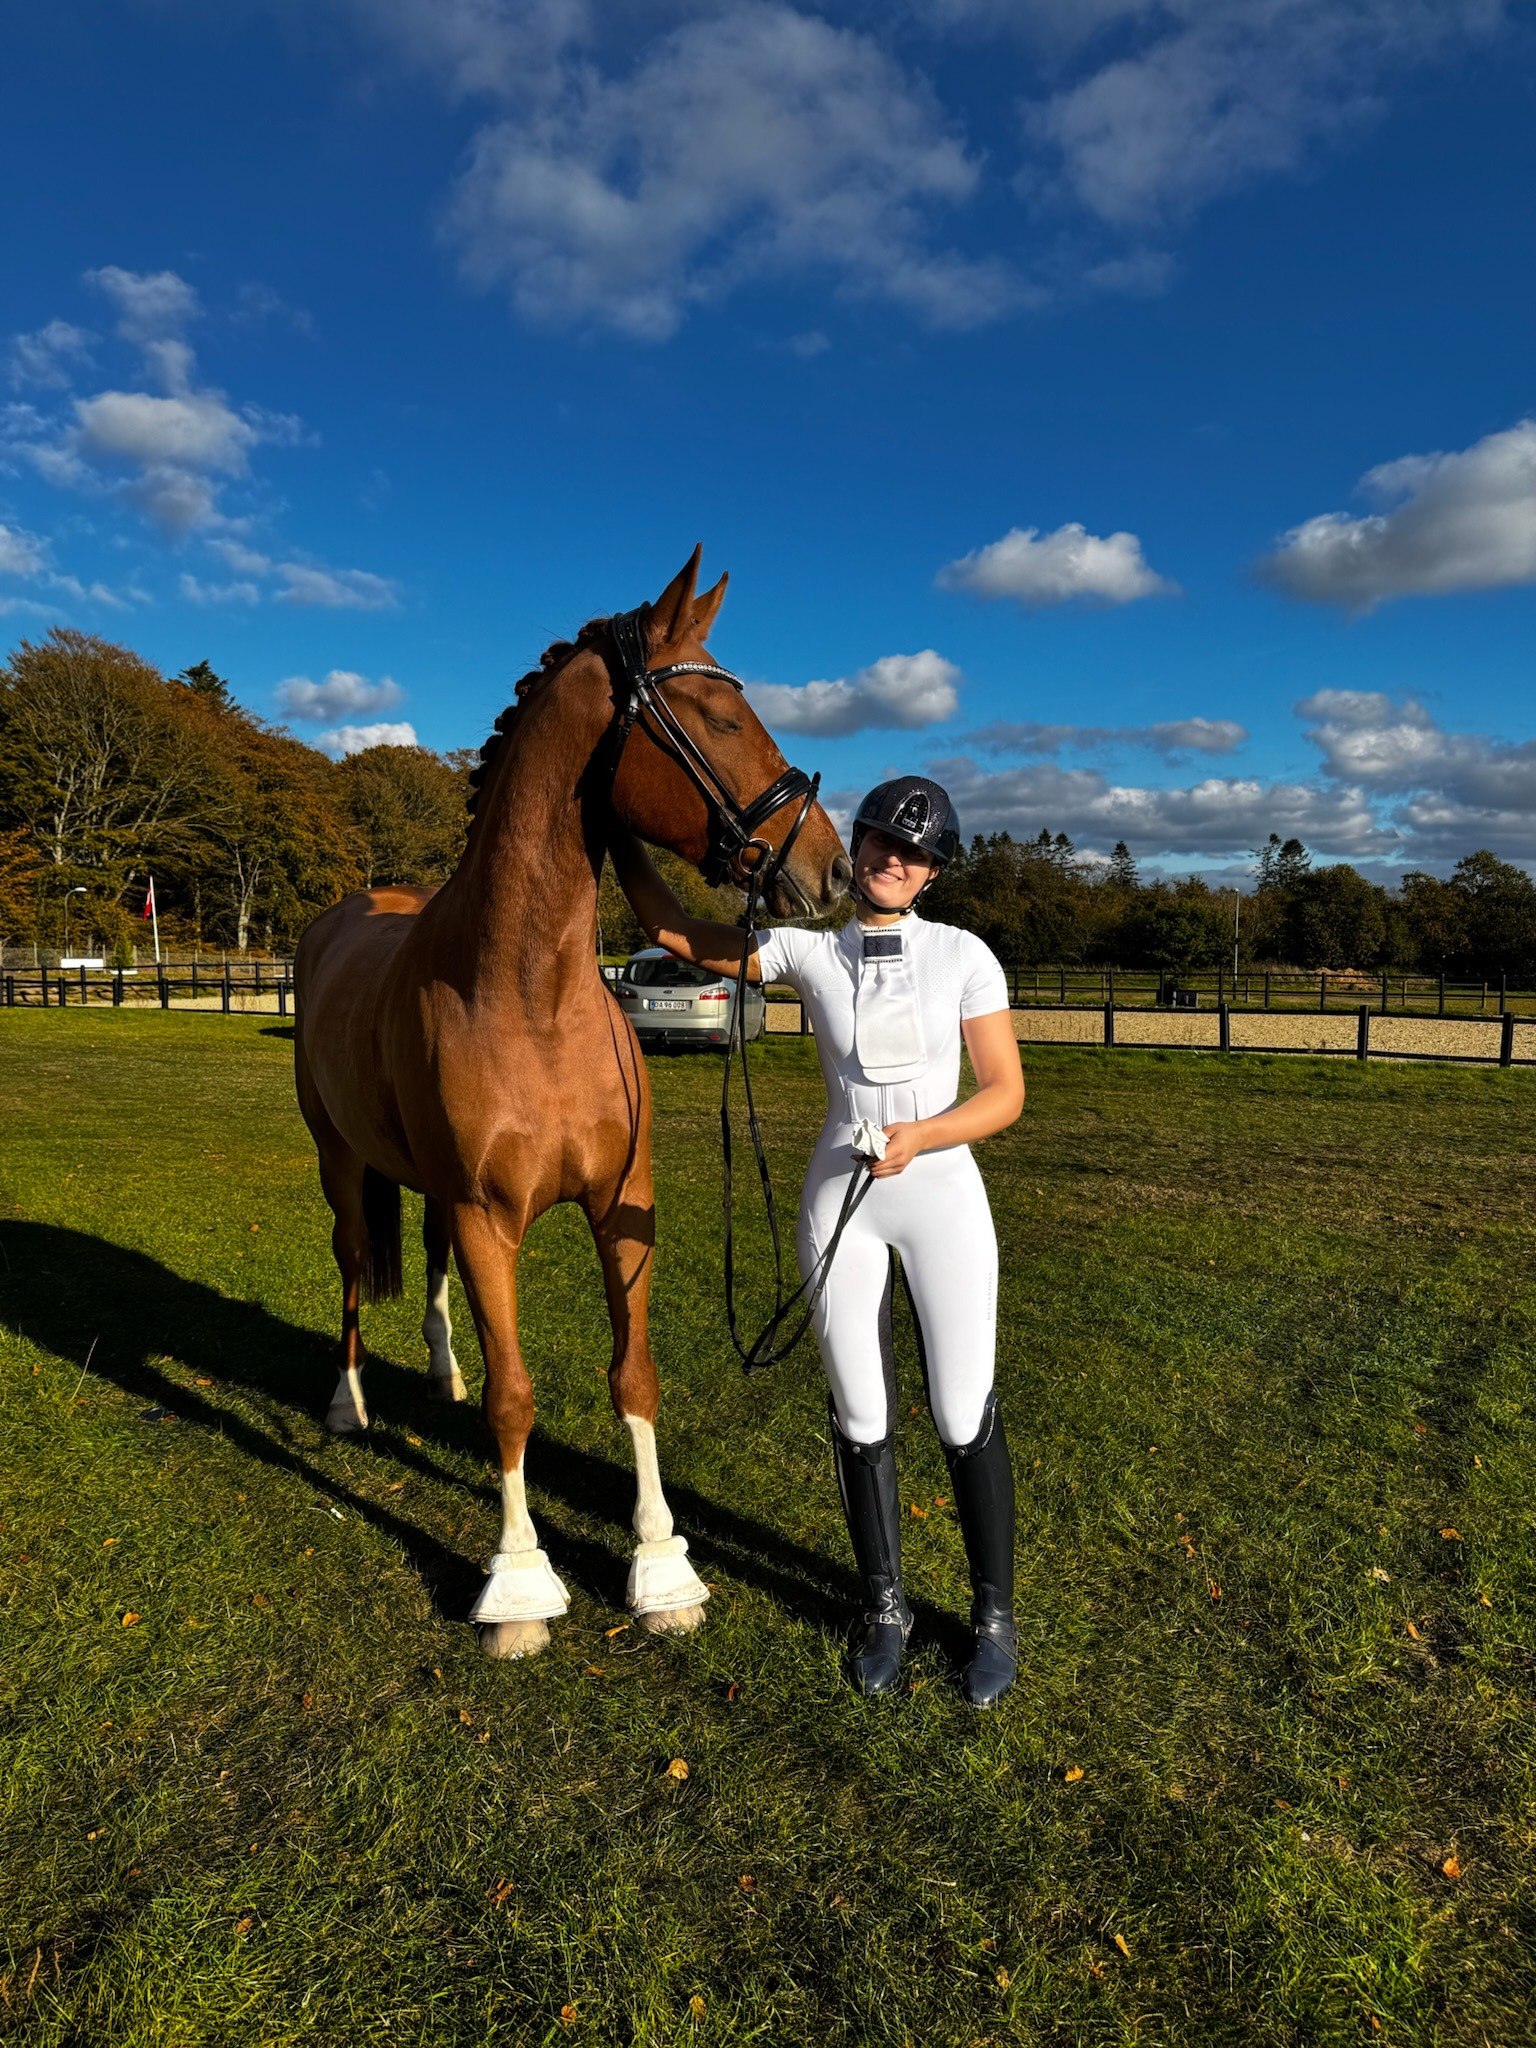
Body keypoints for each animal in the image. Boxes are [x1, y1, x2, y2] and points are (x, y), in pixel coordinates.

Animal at [293, 549, 849, 1657]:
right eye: (721, 717)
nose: (833, 863)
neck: (529, 994)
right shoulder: (487, 1219)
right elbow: (516, 1401)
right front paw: (516, 1583)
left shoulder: (619, 1208)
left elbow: (634, 1376)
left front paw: (664, 1567)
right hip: (340, 1163)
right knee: (350, 1266)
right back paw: (348, 1400)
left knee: (422, 1261)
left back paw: (440, 1374)